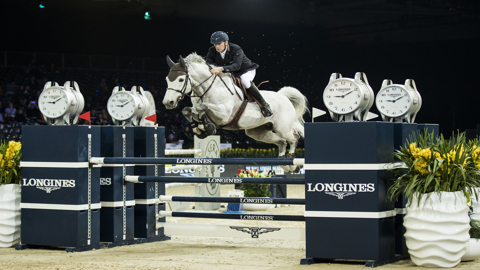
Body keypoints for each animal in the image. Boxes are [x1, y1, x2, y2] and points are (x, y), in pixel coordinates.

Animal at [163, 52, 310, 171]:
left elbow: (202, 107)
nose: (167, 103)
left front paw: (205, 127)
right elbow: (188, 110)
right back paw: (285, 164)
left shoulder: (223, 114)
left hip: (282, 129)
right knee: (281, 142)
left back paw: (292, 162)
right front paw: (200, 128)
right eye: (167, 79)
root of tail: (283, 97)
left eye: (181, 79)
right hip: (257, 132)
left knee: (293, 138)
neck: (208, 89)